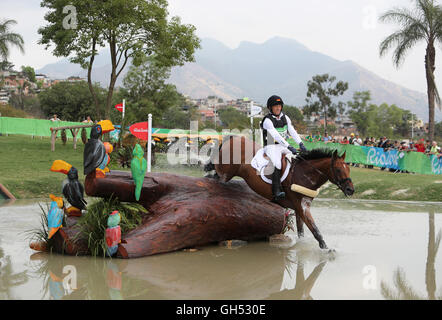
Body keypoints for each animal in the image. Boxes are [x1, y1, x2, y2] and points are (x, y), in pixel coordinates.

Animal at [205, 136, 356, 250]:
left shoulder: (300, 207)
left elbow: (301, 231)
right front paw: (326, 250)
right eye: (338, 170)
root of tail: (233, 138)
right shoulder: (302, 207)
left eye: (348, 169)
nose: (350, 190)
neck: (304, 174)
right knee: (215, 174)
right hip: (225, 172)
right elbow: (315, 230)